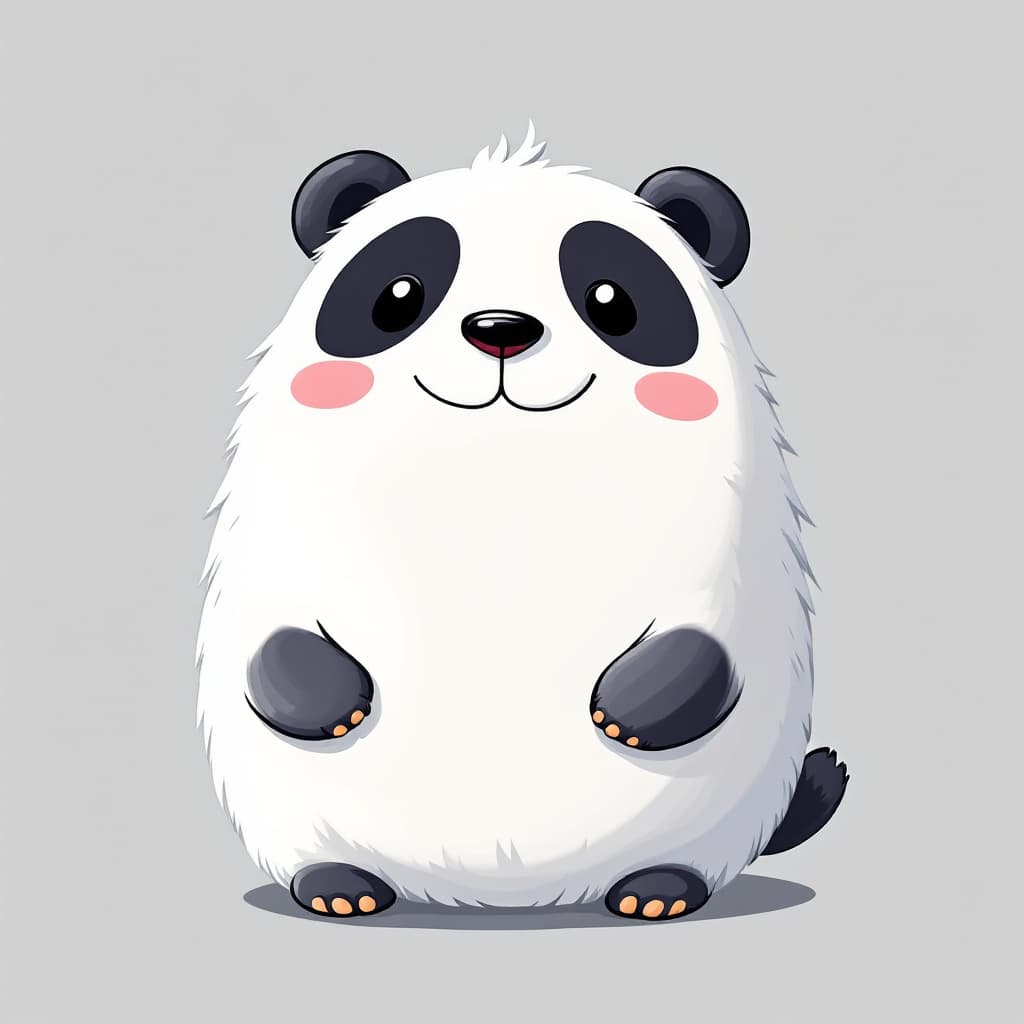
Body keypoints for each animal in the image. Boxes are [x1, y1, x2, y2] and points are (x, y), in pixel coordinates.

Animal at [195, 124, 848, 922]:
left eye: (612, 301)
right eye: (397, 296)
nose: (500, 329)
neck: (502, 466)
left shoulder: (722, 541)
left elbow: (707, 634)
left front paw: (628, 714)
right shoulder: (292, 522)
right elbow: (277, 622)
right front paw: (333, 704)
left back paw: (655, 893)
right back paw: (339, 888)